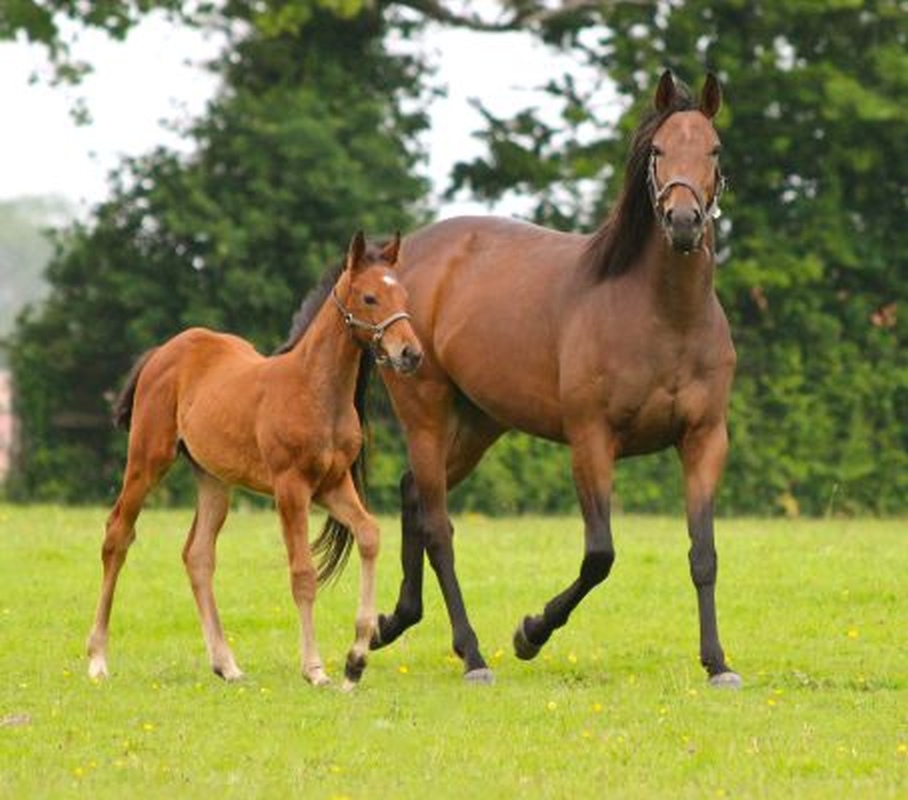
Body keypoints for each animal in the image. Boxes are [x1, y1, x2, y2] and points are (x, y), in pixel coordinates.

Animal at [86, 231, 423, 690]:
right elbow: (302, 574)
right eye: (370, 297)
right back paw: (98, 659)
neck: (316, 390)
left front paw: (355, 661)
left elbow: (369, 535)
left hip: (213, 478)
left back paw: (226, 664)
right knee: (117, 534)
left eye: (403, 293)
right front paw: (315, 669)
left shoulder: (333, 484)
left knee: (198, 555)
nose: (410, 353)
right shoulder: (291, 487)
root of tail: (164, 351)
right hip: (147, 460)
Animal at [369, 71, 741, 688]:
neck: (665, 318)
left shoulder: (704, 440)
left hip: (479, 424)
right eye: (658, 151)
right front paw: (530, 633)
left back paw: (392, 622)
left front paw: (717, 663)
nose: (684, 223)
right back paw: (473, 656)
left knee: (412, 494)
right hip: (424, 411)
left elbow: (704, 553)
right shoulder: (591, 440)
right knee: (438, 527)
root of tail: (397, 263)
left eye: (713, 150)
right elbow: (600, 556)